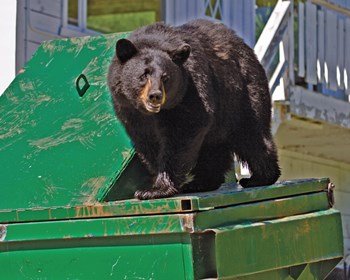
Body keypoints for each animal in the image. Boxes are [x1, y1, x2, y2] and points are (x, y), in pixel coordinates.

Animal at [108, 19, 280, 199]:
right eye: (144, 75)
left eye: (165, 77)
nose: (155, 95)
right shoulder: (129, 110)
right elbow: (147, 141)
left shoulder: (191, 90)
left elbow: (183, 132)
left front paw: (155, 189)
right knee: (213, 147)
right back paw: (203, 182)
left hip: (242, 95)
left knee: (251, 134)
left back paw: (259, 177)